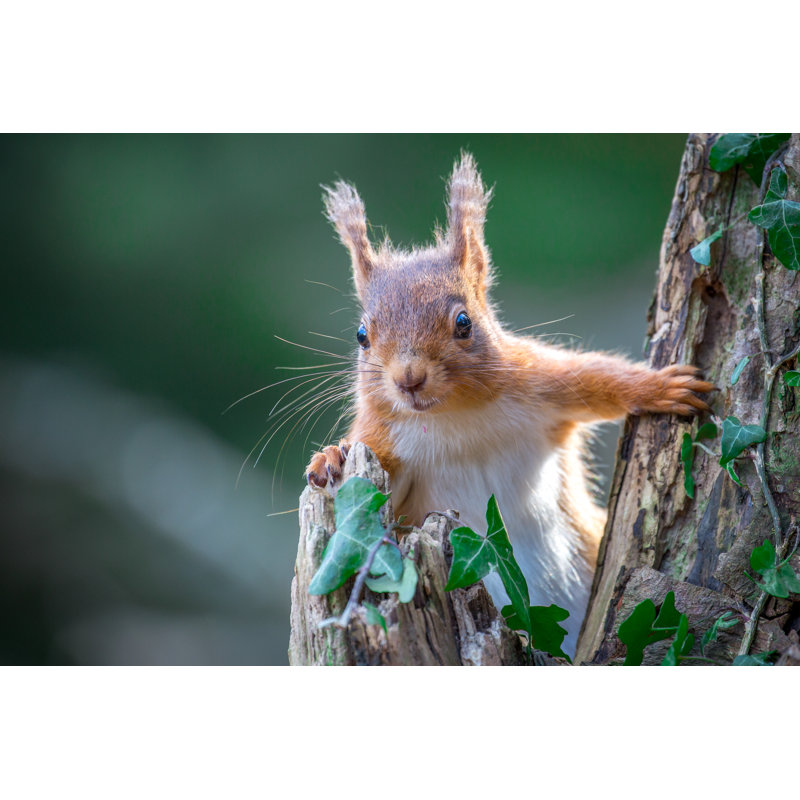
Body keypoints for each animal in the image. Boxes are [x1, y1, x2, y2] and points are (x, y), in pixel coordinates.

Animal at [305, 153, 712, 657]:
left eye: (464, 323)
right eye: (362, 335)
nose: (408, 379)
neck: (453, 417)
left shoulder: (541, 383)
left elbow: (598, 380)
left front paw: (659, 387)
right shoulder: (384, 439)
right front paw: (331, 458)